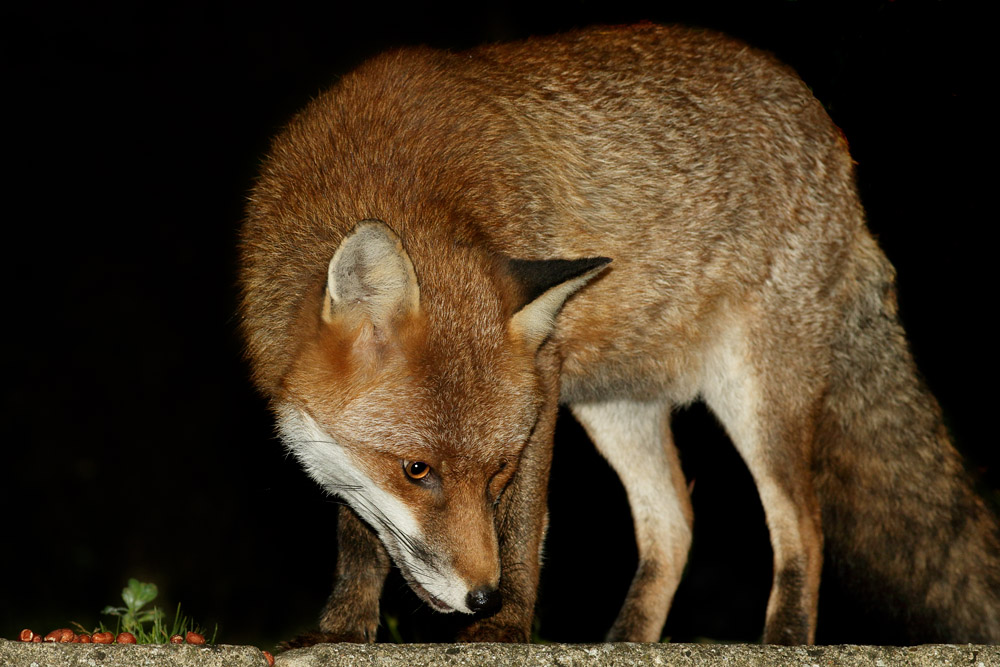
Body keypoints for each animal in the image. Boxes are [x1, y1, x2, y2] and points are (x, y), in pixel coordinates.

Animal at [239, 23, 1000, 645]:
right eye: (416, 470)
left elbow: (525, 524)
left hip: (756, 396)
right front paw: (343, 629)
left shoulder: (543, 383)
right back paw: (626, 640)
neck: (388, 163)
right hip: (617, 408)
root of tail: (839, 152)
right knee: (677, 524)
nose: (481, 597)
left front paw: (508, 629)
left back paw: (783, 641)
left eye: (499, 471)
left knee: (803, 527)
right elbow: (359, 534)